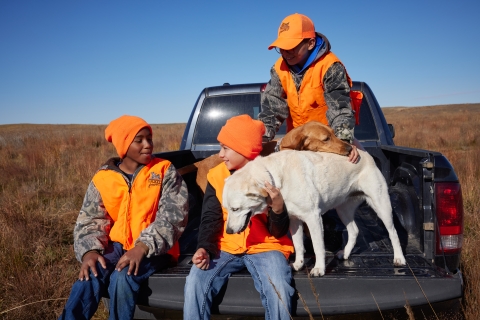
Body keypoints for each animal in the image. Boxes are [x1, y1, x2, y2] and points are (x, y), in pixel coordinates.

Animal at [223, 149, 406, 276]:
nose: (229, 231)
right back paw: (345, 254)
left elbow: (318, 247)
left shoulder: (313, 217)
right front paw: (298, 264)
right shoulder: (294, 220)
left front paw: (319, 269)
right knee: (354, 230)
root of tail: (366, 154)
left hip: (381, 205)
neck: (276, 177)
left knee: (393, 232)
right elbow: (298, 245)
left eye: (235, 209)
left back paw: (399, 258)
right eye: (227, 208)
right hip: (343, 209)